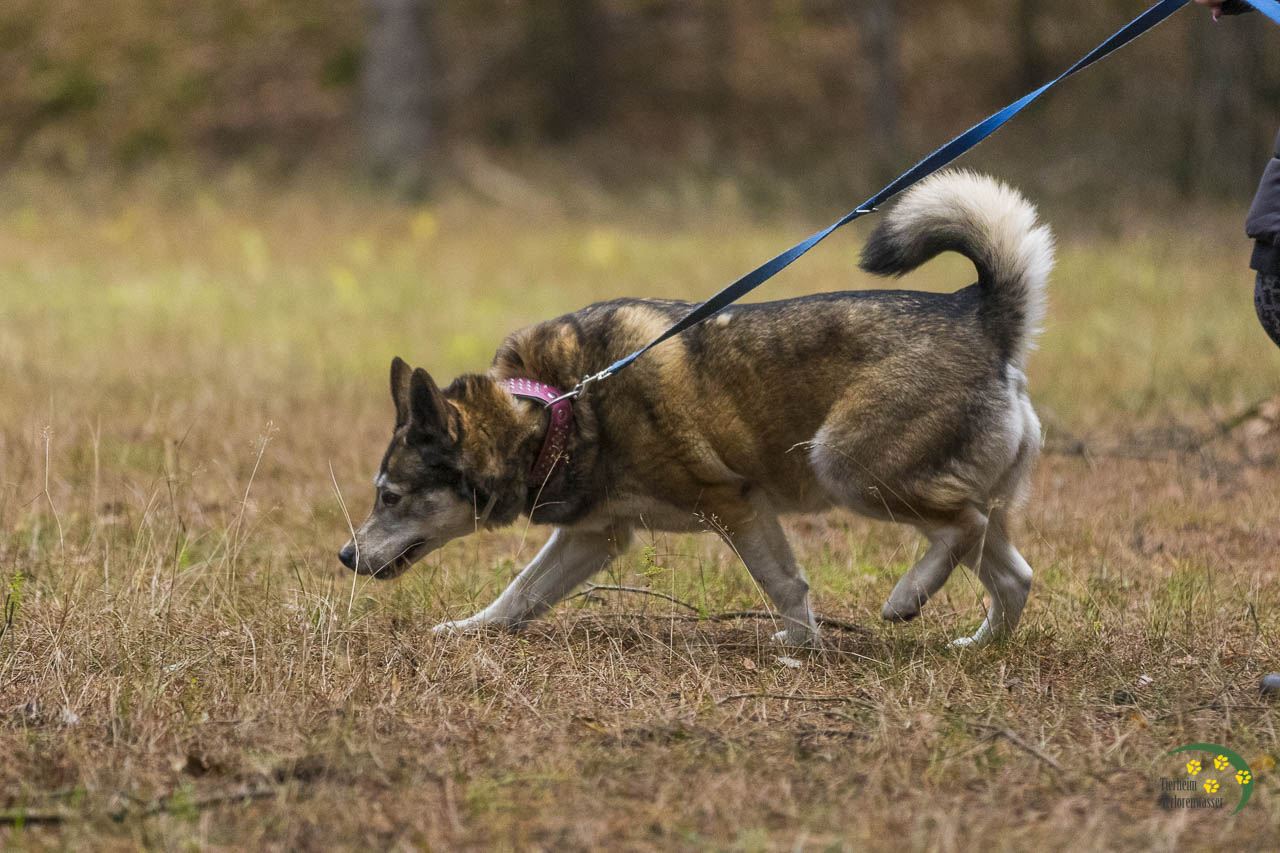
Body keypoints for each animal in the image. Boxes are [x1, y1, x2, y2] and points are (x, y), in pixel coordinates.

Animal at [338, 170, 1054, 648]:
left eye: (390, 496)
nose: (345, 556)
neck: (560, 409)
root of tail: (978, 311)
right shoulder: (595, 535)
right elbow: (520, 593)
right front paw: (470, 629)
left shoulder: (736, 504)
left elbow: (784, 586)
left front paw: (801, 649)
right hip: (943, 494)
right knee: (1010, 571)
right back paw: (978, 648)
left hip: (846, 467)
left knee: (961, 527)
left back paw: (907, 598)